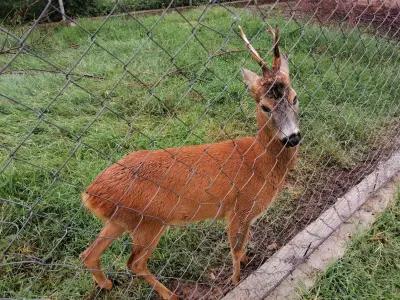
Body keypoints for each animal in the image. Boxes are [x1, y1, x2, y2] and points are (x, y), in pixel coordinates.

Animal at [80, 27, 300, 298]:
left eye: (295, 98)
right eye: (265, 107)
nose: (292, 137)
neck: (260, 162)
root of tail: (91, 194)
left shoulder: (246, 214)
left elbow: (244, 244)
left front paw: (247, 260)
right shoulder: (239, 208)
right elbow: (235, 248)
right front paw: (236, 279)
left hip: (121, 220)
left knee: (88, 253)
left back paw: (106, 283)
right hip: (149, 222)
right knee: (134, 262)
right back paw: (170, 294)